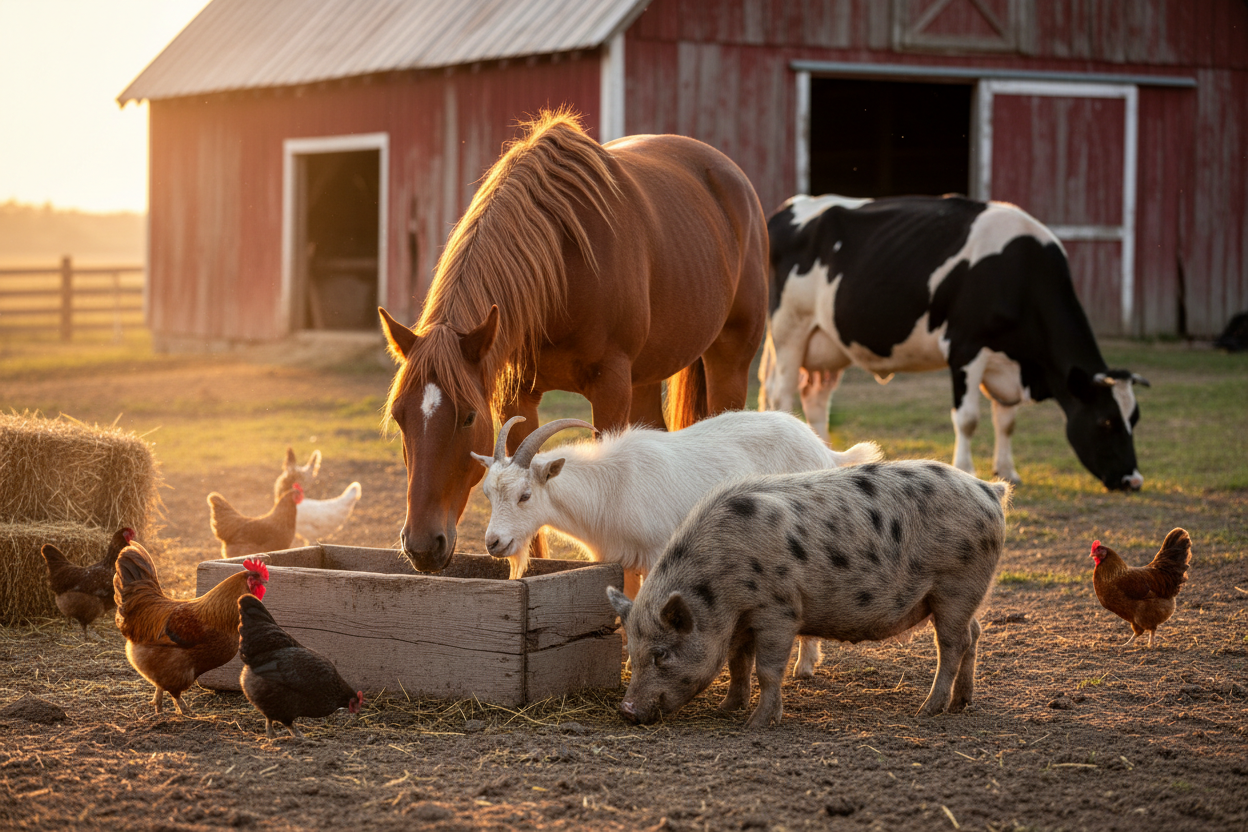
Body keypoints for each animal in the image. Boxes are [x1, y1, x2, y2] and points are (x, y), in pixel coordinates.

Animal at [380, 111, 768, 582]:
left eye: (469, 416)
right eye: (399, 416)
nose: (422, 546)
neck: (563, 269)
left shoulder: (610, 386)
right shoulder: (519, 398)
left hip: (729, 358)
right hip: (644, 378)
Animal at [759, 193, 1149, 491]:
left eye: (1136, 418)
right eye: (1106, 422)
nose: (1133, 481)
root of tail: (787, 208)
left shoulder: (1007, 361)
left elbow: (1006, 421)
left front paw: (1008, 471)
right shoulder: (966, 348)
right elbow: (968, 418)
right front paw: (967, 468)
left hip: (828, 345)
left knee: (816, 399)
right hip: (790, 329)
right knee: (782, 394)